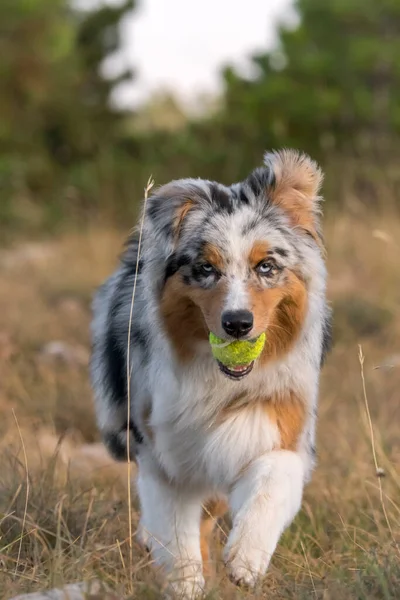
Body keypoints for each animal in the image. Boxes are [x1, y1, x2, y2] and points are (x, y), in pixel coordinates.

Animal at [90, 149, 332, 596]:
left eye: (266, 266)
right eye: (205, 269)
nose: (237, 324)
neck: (220, 382)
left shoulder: (284, 425)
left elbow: (272, 481)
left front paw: (245, 560)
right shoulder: (164, 449)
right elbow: (176, 529)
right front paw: (186, 583)